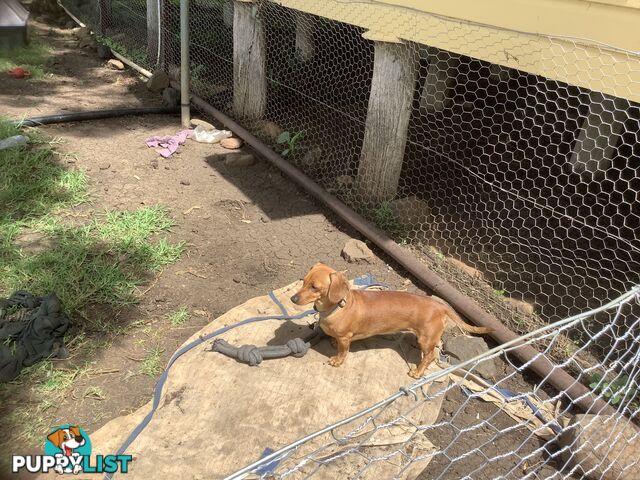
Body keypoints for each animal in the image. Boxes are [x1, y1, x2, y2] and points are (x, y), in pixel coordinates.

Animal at [292, 262, 492, 378]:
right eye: (303, 281)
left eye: (315, 287)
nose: (293, 299)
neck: (338, 307)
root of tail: (440, 305)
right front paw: (332, 342)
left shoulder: (345, 338)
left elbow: (343, 352)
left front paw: (337, 360)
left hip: (425, 339)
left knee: (430, 357)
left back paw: (417, 372)